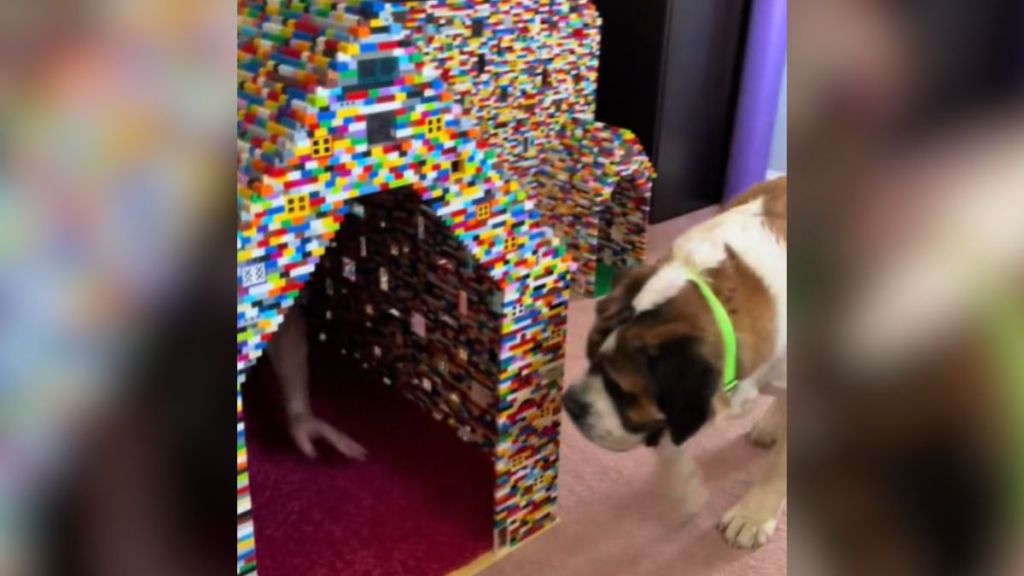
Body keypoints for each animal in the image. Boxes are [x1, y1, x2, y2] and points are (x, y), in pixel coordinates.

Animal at [565, 176, 786, 545]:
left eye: (622, 391)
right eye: (590, 358)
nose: (571, 403)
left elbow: (777, 470)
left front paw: (752, 517)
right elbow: (670, 443)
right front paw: (685, 489)